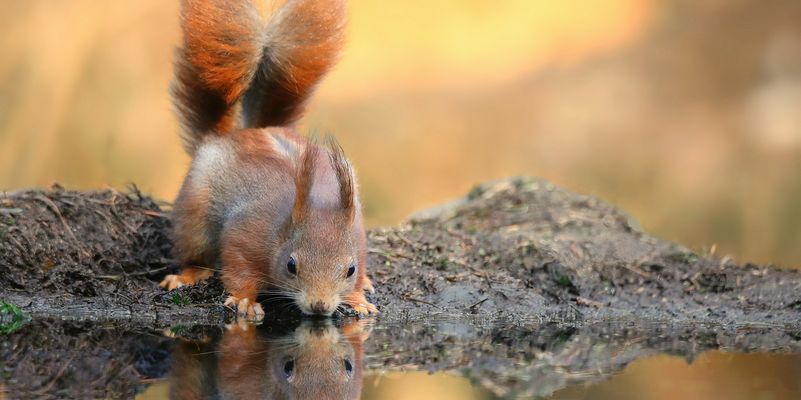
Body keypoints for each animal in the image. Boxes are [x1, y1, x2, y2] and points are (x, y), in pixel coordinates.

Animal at [158, 0, 377, 319]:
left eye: (350, 270)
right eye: (291, 265)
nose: (320, 306)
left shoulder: (358, 241)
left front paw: (359, 297)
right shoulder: (244, 236)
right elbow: (239, 271)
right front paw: (245, 301)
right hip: (195, 217)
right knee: (194, 252)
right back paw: (187, 275)